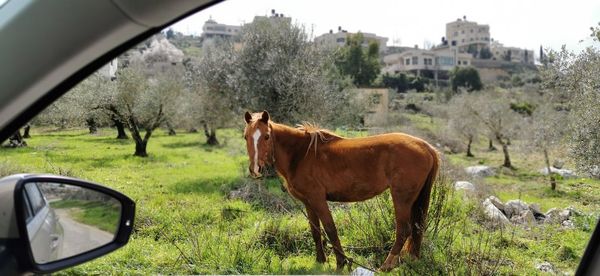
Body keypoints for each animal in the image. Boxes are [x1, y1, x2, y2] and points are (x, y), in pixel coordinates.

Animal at [244, 110, 440, 272]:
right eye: (246, 137)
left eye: (267, 136)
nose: (256, 169)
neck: (301, 154)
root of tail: (426, 147)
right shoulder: (308, 202)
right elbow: (315, 231)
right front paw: (320, 261)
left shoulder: (318, 199)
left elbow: (330, 229)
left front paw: (341, 263)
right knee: (417, 228)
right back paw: (412, 260)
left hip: (401, 198)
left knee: (403, 230)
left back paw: (386, 266)